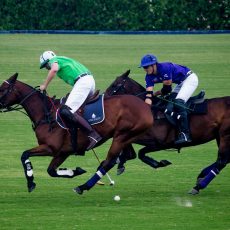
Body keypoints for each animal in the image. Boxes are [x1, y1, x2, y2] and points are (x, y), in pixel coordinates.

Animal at [0, 73, 154, 194]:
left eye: (2, 89)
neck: (46, 114)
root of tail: (146, 107)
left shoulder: (51, 148)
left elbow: (24, 154)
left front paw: (31, 181)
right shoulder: (62, 152)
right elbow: (51, 171)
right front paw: (75, 171)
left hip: (121, 137)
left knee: (109, 162)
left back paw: (83, 186)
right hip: (125, 136)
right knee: (127, 155)